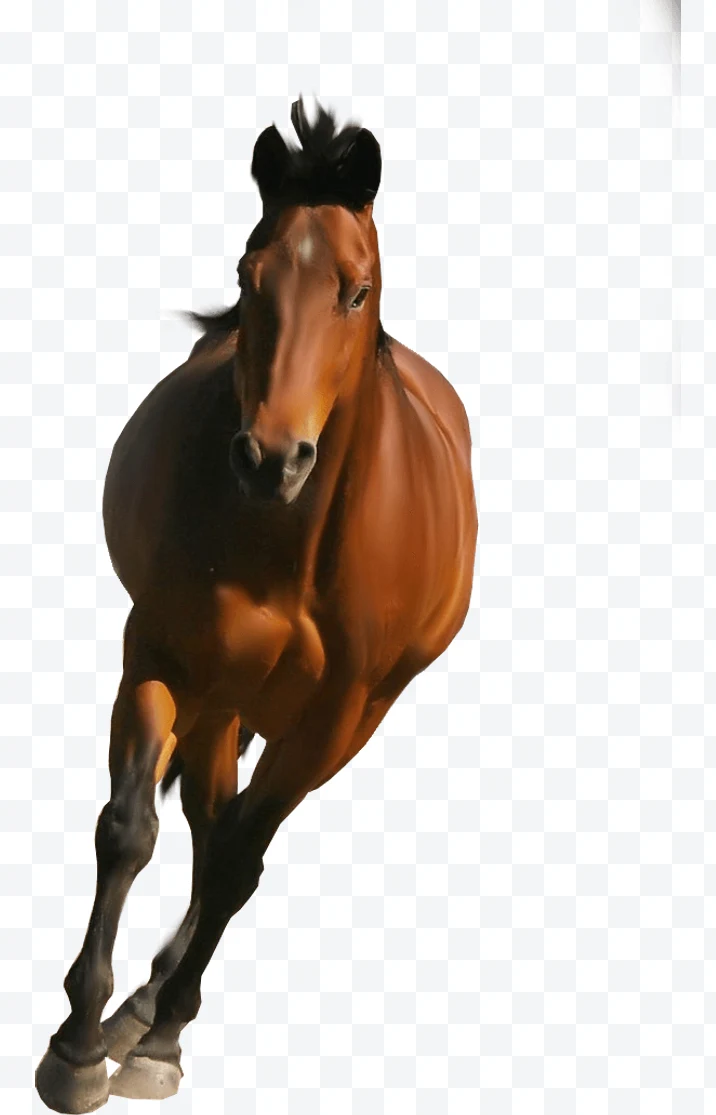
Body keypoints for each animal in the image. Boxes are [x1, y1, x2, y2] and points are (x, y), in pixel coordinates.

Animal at [35, 97, 478, 1112]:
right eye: (249, 275)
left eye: (356, 291)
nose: (271, 458)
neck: (291, 546)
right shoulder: (163, 652)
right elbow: (130, 828)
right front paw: (77, 1043)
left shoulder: (338, 711)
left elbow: (241, 858)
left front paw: (162, 1041)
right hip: (225, 694)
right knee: (204, 817)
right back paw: (134, 1007)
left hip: (334, 716)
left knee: (234, 836)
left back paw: (158, 1008)